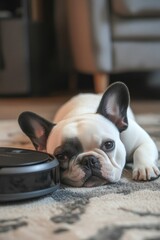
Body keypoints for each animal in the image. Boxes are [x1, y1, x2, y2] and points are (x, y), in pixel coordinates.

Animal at [18, 82, 159, 188]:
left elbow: (141, 151)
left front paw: (145, 168)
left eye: (109, 145)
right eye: (61, 156)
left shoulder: (143, 140)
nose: (89, 160)